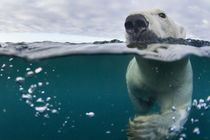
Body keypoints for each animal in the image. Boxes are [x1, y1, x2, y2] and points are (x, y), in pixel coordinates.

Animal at [124, 9, 192, 139]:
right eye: (129, 15)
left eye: (162, 15)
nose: (135, 20)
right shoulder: (134, 77)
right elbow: (138, 102)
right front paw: (147, 101)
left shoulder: (179, 82)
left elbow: (178, 109)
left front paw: (144, 128)